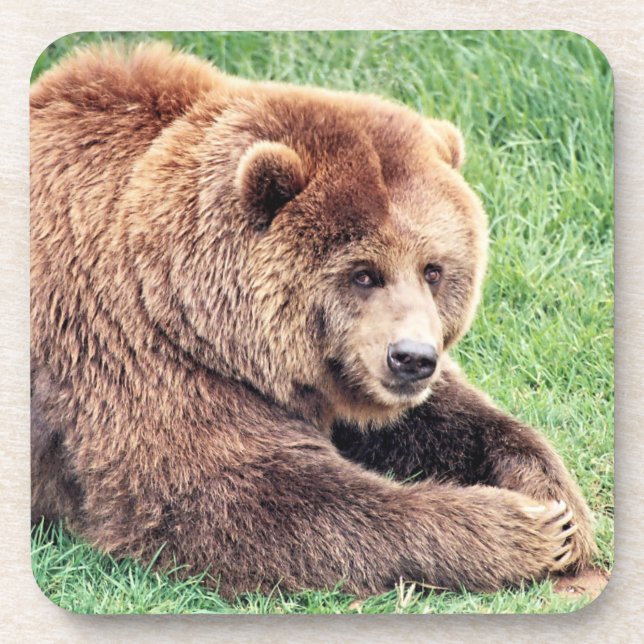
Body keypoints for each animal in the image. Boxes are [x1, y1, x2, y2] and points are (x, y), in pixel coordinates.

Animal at [30, 41, 595, 598]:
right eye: (364, 273)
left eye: (433, 269)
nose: (412, 358)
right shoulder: (133, 353)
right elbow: (240, 497)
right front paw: (521, 527)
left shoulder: (338, 373)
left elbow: (446, 419)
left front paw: (558, 506)